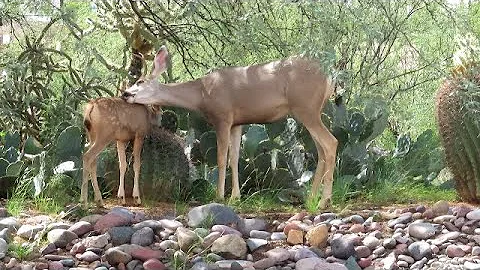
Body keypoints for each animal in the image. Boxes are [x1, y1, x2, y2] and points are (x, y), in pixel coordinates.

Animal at [122, 46, 338, 209]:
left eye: (140, 81)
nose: (124, 93)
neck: (201, 94)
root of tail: (329, 79)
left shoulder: (223, 117)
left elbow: (220, 158)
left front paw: (219, 195)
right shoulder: (237, 123)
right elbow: (234, 158)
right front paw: (235, 196)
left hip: (306, 108)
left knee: (331, 142)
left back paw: (324, 201)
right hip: (311, 112)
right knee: (320, 150)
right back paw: (311, 198)